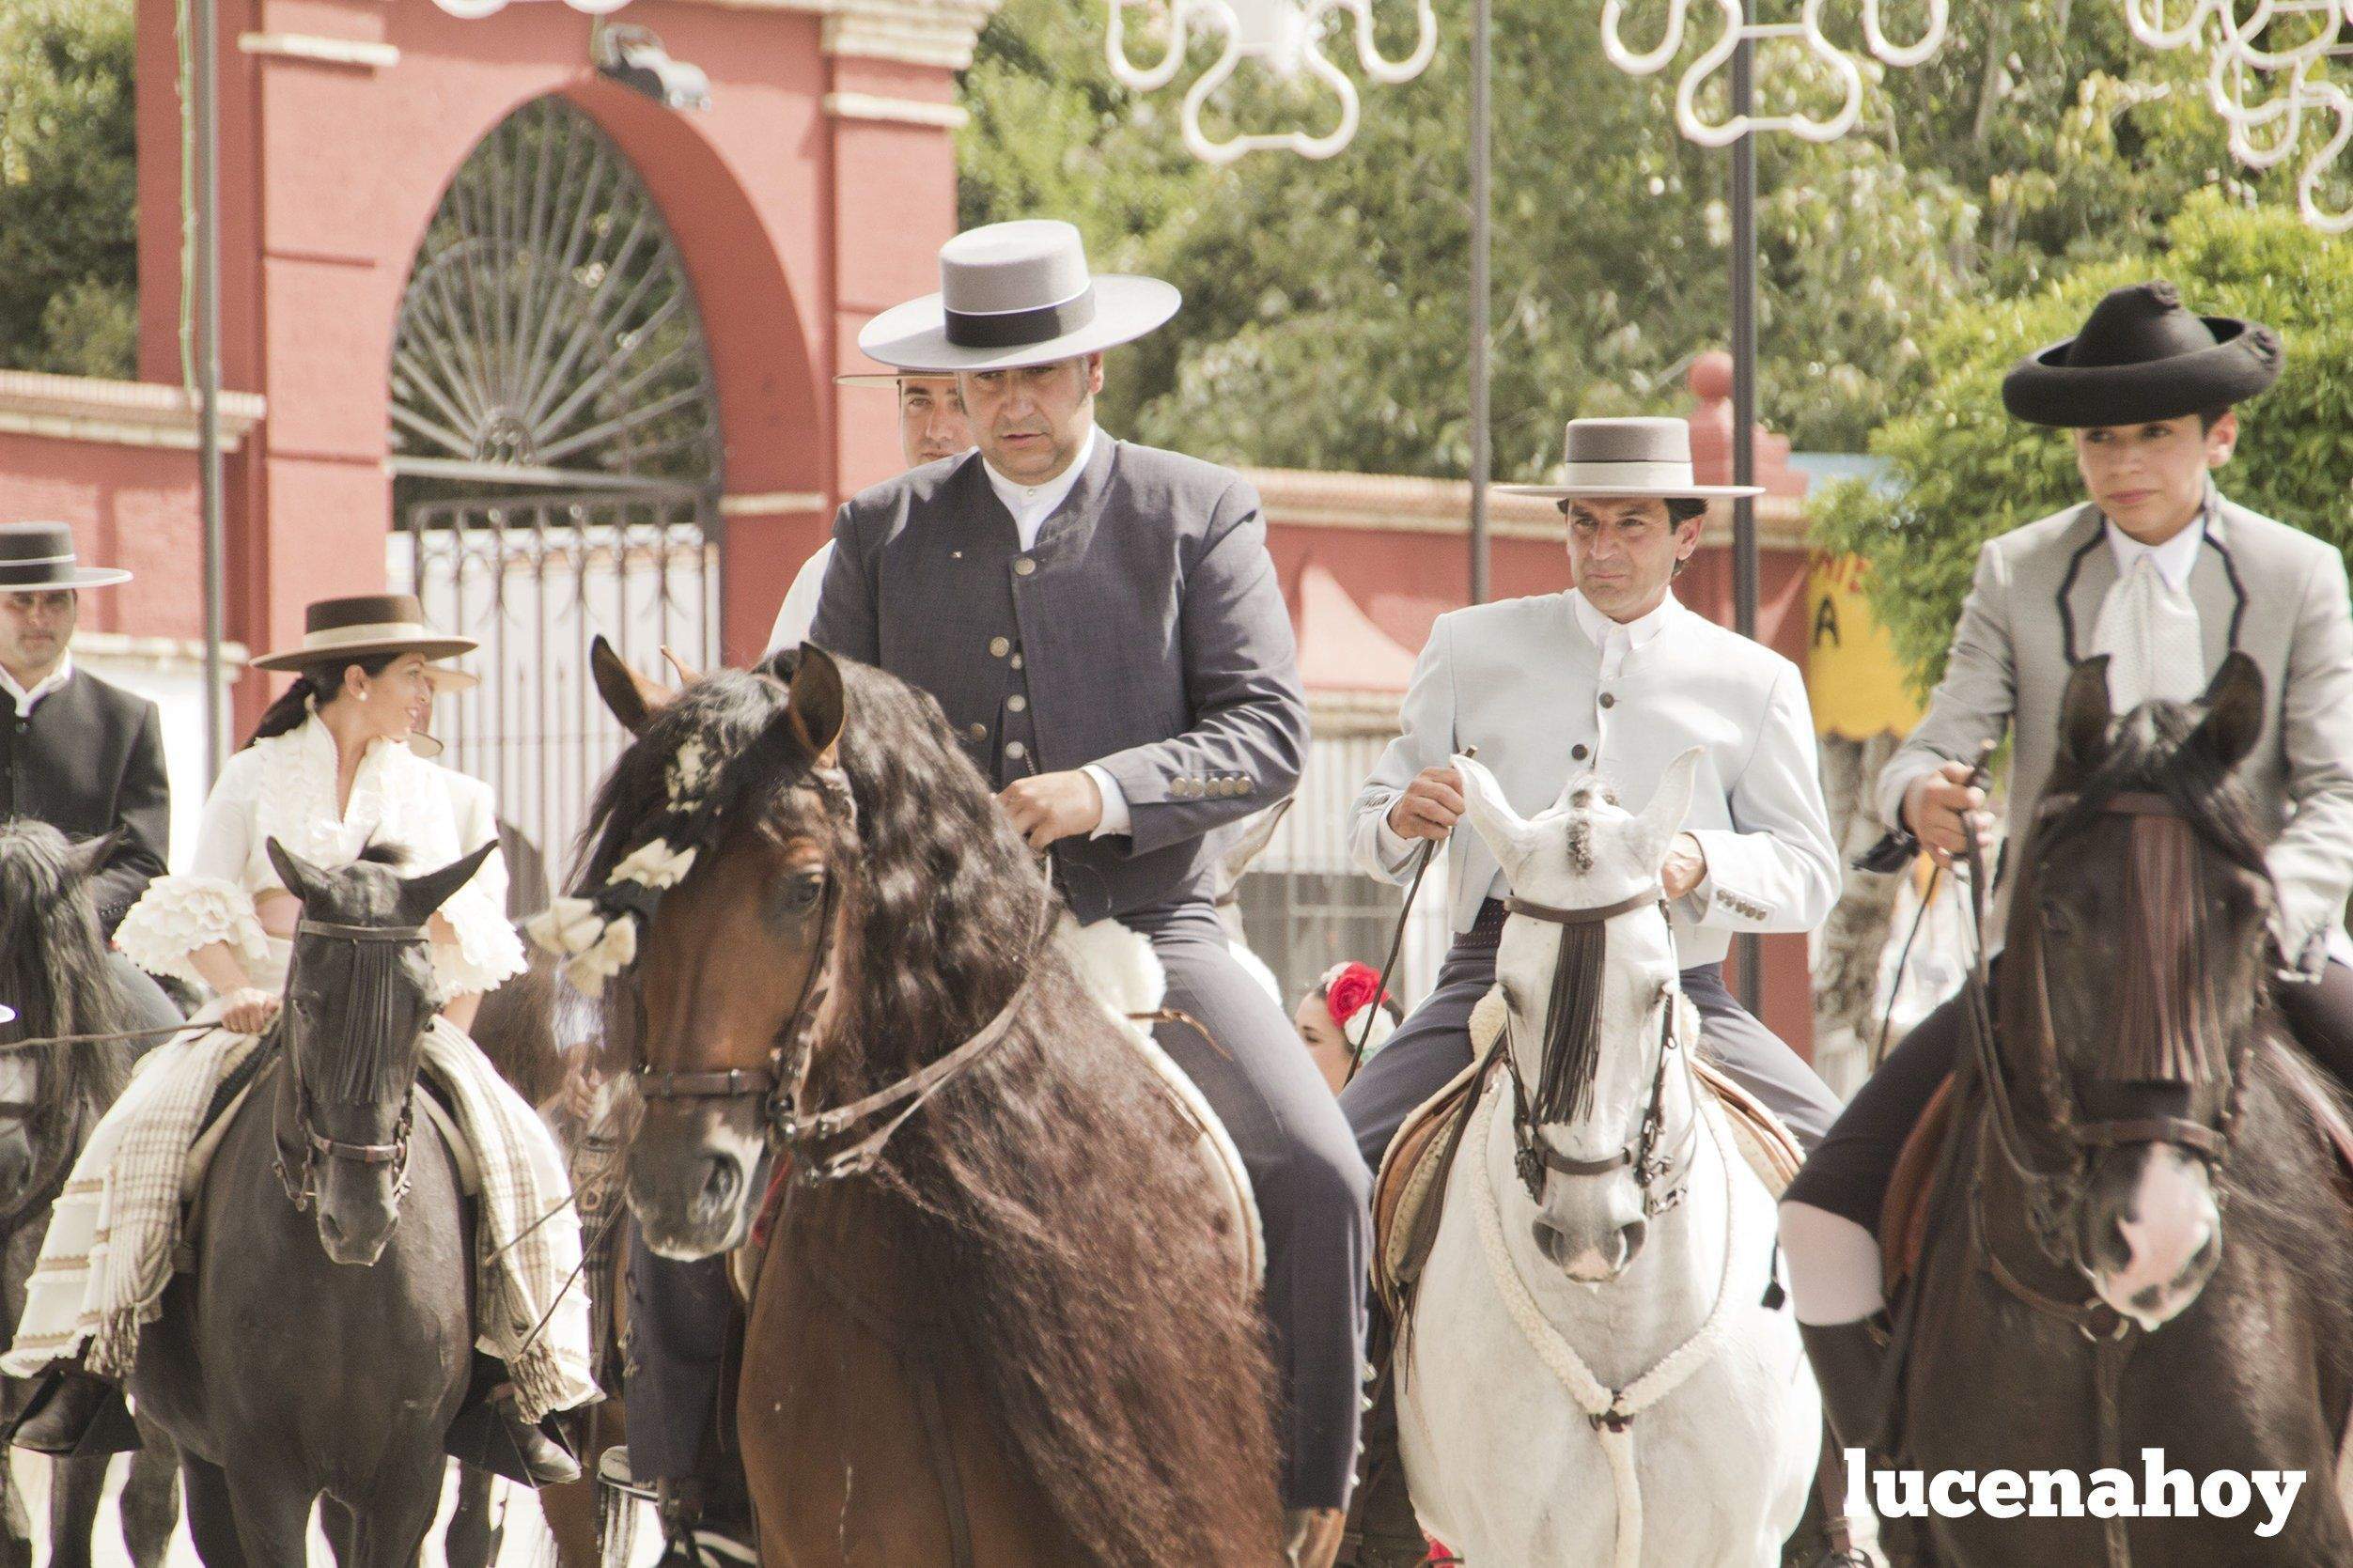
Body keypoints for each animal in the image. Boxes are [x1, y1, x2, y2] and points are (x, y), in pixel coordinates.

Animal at [133, 841, 496, 1560]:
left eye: (428, 1012)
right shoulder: (260, 1472)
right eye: (303, 1004)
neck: (347, 1286)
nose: (358, 1221)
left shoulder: (408, 1479)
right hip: (204, 1458)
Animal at [1393, 752, 1816, 1560]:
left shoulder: (1743, 1543)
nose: (1588, 1232)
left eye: (1658, 990)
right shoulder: (1507, 1542)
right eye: (1509, 993)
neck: (1617, 1315)